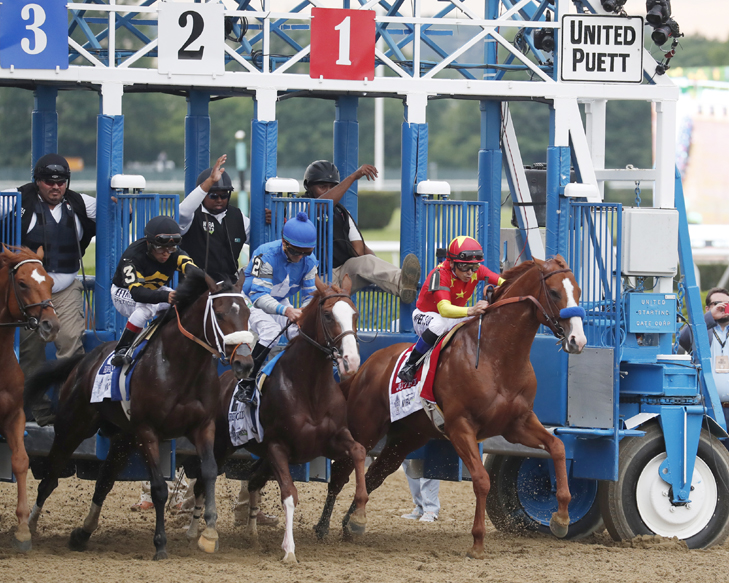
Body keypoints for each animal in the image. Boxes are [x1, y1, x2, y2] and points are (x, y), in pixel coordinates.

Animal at [22, 270, 253, 560]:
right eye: (220, 314)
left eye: (248, 312)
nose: (244, 363)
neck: (180, 366)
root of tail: (84, 360)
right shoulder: (148, 431)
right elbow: (159, 488)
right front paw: (160, 544)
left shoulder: (203, 426)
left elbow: (209, 472)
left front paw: (209, 534)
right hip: (72, 426)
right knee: (50, 478)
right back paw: (29, 527)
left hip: (123, 438)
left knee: (104, 481)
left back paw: (82, 533)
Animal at [188, 278, 366, 564]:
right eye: (328, 315)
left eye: (355, 314)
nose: (351, 361)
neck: (309, 387)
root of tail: (222, 380)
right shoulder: (277, 447)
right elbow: (290, 495)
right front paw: (289, 550)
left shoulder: (332, 439)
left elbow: (359, 451)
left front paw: (359, 517)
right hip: (222, 444)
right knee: (203, 483)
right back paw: (195, 531)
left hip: (262, 456)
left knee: (253, 482)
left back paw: (252, 534)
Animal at [312, 258, 584, 560]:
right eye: (555, 293)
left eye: (579, 291)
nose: (578, 340)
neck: (496, 356)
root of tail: (366, 366)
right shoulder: (460, 426)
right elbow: (482, 480)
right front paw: (477, 542)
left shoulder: (517, 424)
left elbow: (557, 447)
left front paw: (561, 518)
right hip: (365, 428)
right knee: (341, 474)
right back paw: (323, 527)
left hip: (406, 438)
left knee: (374, 476)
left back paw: (352, 523)